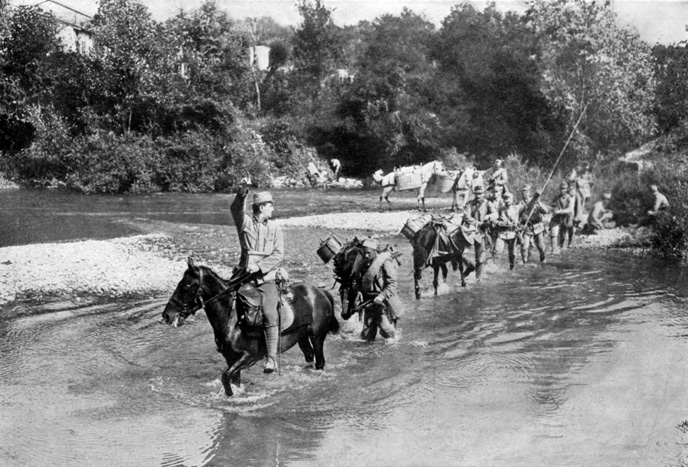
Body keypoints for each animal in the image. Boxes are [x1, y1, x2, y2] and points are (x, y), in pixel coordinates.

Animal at [164, 260, 342, 398]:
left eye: (187, 285)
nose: (166, 315)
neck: (233, 319)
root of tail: (320, 292)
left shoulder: (249, 356)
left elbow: (225, 376)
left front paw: (230, 396)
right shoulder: (230, 358)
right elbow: (232, 379)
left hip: (317, 336)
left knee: (320, 360)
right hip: (302, 337)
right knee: (309, 355)